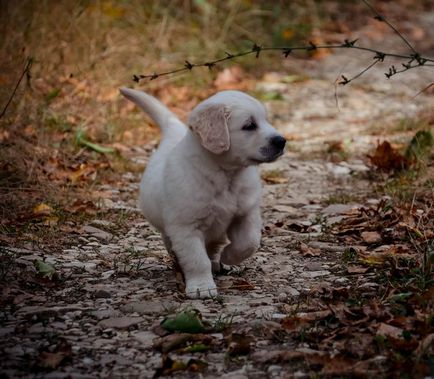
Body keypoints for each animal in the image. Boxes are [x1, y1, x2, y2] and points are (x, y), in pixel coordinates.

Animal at [120, 87, 286, 298]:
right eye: (249, 125)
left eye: (266, 119)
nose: (282, 141)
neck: (226, 175)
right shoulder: (186, 227)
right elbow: (196, 259)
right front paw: (201, 287)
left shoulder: (246, 213)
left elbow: (249, 242)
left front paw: (228, 257)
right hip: (168, 231)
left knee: (213, 247)